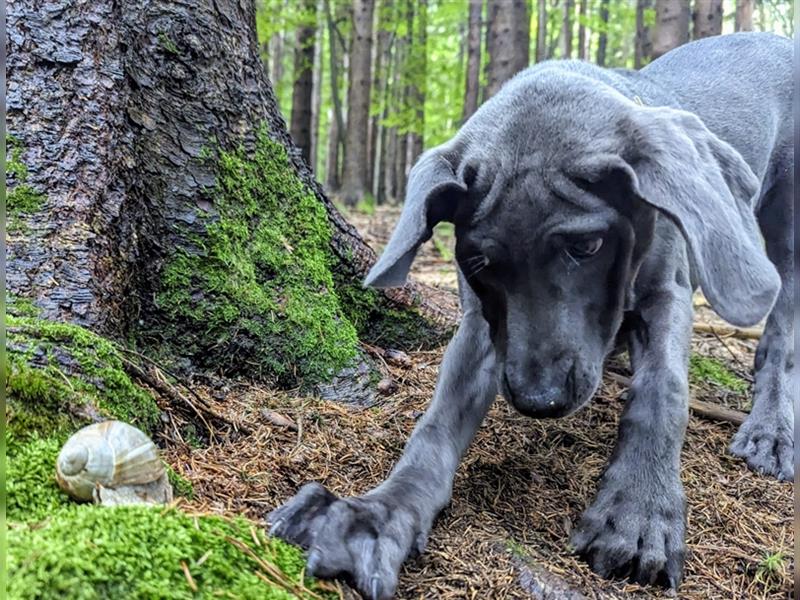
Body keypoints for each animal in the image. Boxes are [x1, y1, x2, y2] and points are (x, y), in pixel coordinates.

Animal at [270, 34, 792, 600]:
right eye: (480, 264)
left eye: (587, 246)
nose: (538, 402)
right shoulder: (482, 327)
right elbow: (436, 425)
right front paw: (377, 515)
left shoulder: (665, 292)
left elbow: (662, 392)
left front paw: (639, 512)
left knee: (781, 337)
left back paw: (771, 431)